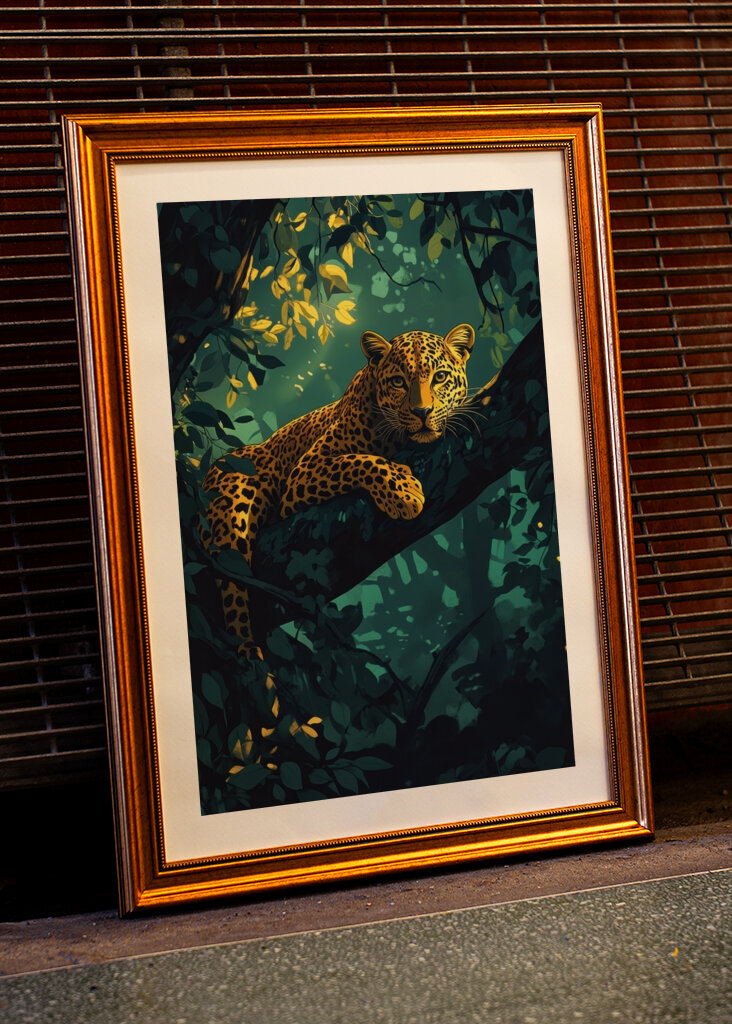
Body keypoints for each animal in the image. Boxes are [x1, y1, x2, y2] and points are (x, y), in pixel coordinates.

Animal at [202, 322, 476, 655]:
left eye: (440, 377)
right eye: (398, 381)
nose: (422, 412)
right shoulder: (303, 474)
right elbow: (358, 461)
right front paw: (404, 491)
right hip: (233, 507)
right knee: (233, 588)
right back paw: (247, 648)